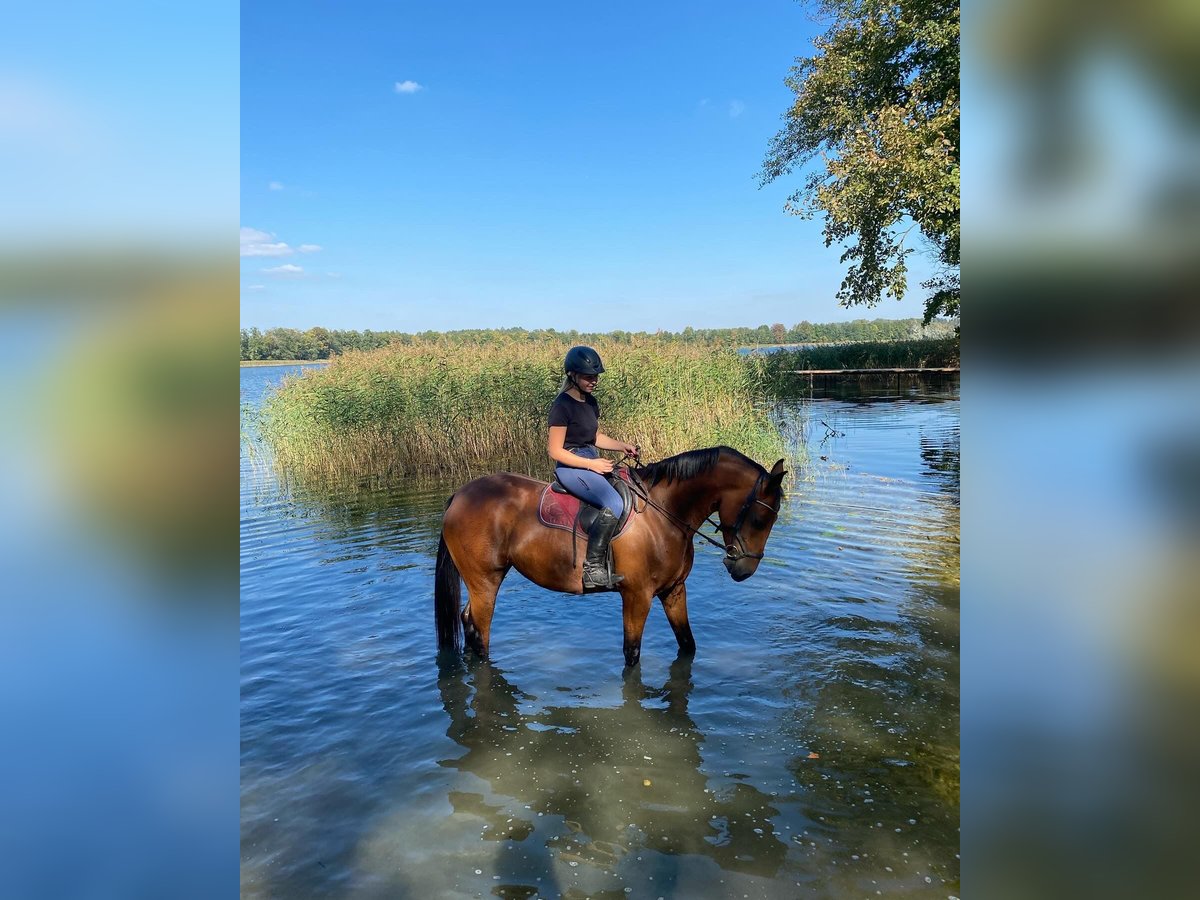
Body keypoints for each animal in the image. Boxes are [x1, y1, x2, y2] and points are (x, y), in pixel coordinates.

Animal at [434, 446, 787, 667]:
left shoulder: (674, 591)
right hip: (485, 581)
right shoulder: (637, 596)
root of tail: (460, 495)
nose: (744, 569)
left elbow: (688, 645)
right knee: (479, 633)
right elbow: (632, 653)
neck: (663, 514)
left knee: (467, 622)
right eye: (760, 519)